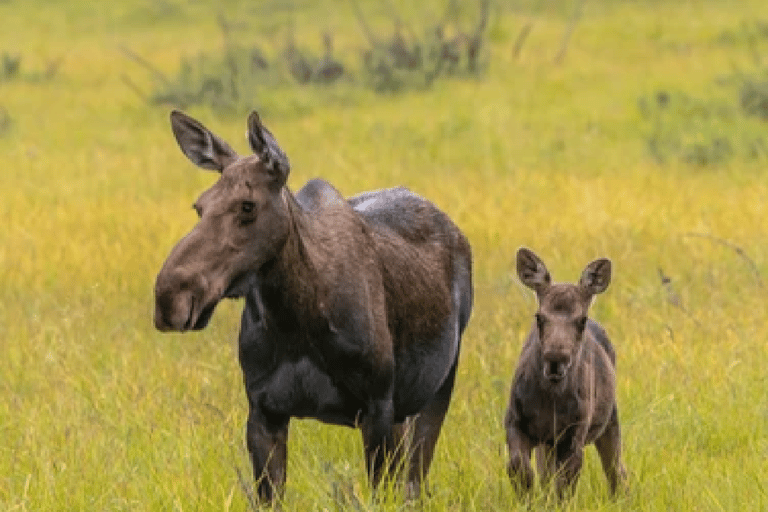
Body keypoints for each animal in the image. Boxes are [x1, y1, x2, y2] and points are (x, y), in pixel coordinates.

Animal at [153, 110, 472, 502]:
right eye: (199, 206)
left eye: (247, 205)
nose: (170, 297)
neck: (295, 323)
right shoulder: (263, 411)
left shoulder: (378, 405)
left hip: (437, 387)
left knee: (415, 480)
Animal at [508, 247, 628, 496]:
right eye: (539, 317)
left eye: (581, 320)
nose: (556, 359)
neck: (549, 402)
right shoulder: (515, 419)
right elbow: (520, 469)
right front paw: (527, 500)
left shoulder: (575, 433)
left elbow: (564, 488)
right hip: (548, 442)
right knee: (545, 473)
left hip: (609, 418)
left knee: (617, 472)